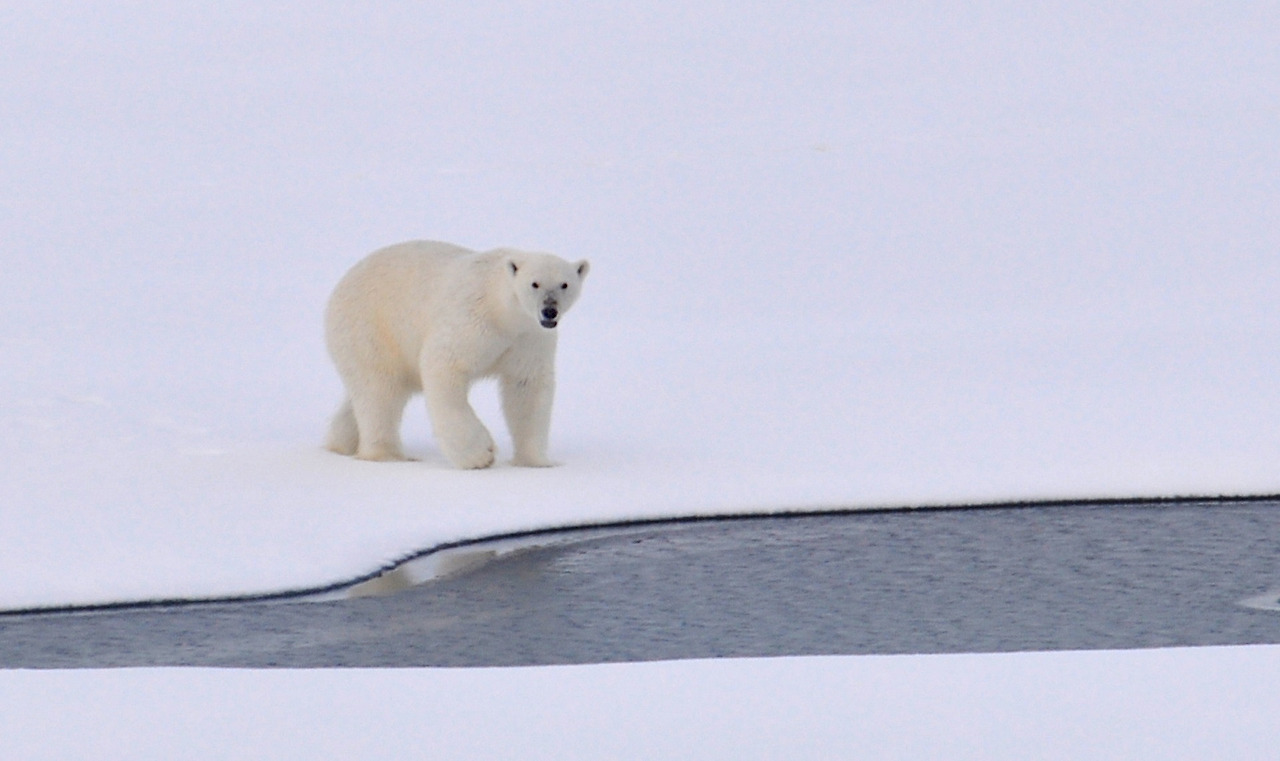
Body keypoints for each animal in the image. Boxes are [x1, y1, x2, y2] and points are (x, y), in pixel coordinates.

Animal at [324, 240, 589, 469]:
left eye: (565, 284)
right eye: (534, 283)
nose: (549, 310)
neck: (502, 311)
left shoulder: (529, 337)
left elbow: (527, 387)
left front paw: (536, 461)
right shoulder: (472, 318)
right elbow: (444, 364)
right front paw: (480, 455)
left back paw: (341, 443)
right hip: (370, 329)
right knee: (379, 390)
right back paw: (388, 455)